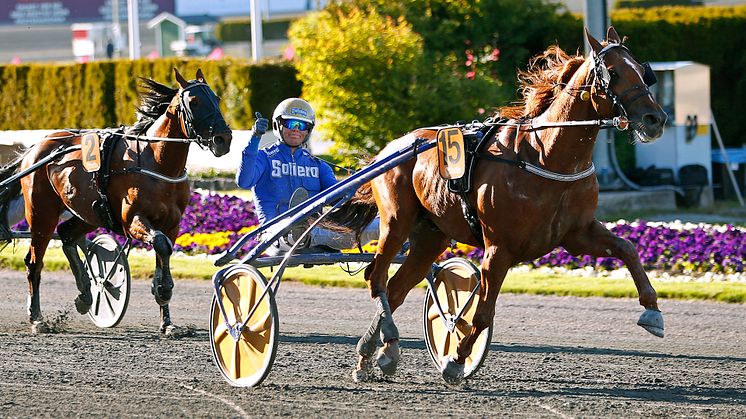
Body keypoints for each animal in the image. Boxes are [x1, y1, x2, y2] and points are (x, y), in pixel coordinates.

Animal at [0, 67, 231, 334]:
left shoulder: (172, 224)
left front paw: (167, 321)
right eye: (194, 101)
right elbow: (160, 244)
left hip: (89, 212)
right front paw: (162, 290)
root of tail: (37, 147)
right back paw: (37, 318)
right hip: (41, 214)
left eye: (217, 99)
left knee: (67, 234)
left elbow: (164, 250)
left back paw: (85, 295)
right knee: (34, 261)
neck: (157, 163)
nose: (224, 139)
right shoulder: (132, 220)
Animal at [328, 27, 664, 386]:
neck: (545, 155)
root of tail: (392, 146)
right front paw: (456, 359)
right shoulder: (499, 248)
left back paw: (377, 353)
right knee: (376, 277)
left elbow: (627, 247)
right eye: (613, 72)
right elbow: (483, 311)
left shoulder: (578, 233)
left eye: (643, 70)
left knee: (396, 287)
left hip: (431, 235)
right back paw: (385, 341)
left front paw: (653, 311)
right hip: (396, 221)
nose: (655, 118)